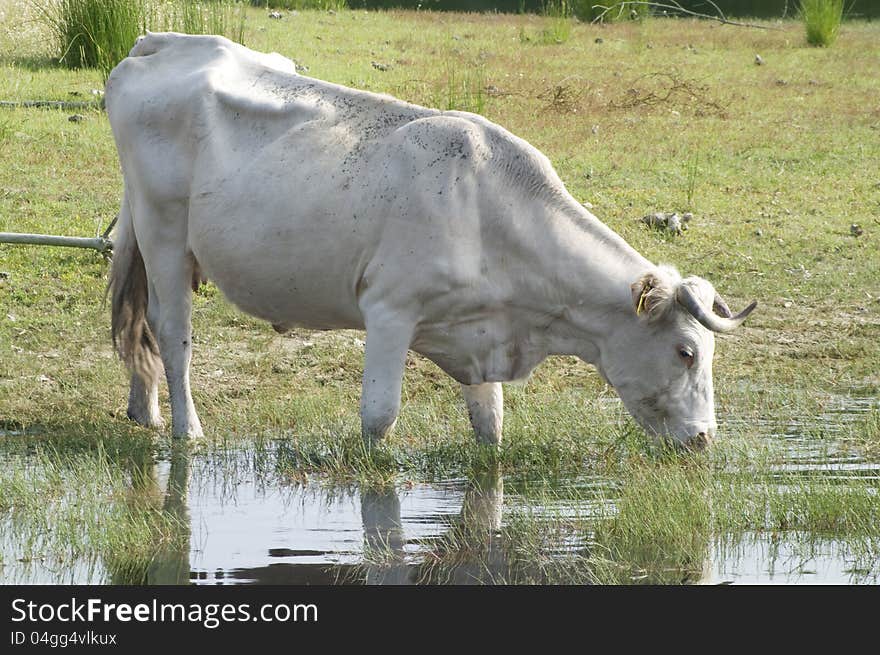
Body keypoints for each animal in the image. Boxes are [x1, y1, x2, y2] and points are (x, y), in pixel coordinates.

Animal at [106, 32, 756, 452]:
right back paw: (185, 428)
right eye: (686, 352)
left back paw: (145, 411)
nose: (705, 437)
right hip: (164, 230)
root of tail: (164, 43)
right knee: (170, 329)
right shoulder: (389, 310)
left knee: (141, 326)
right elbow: (378, 420)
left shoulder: (483, 332)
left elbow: (491, 428)